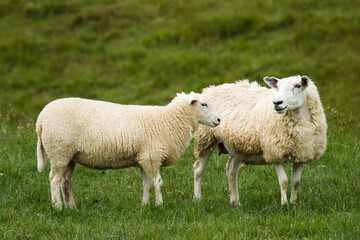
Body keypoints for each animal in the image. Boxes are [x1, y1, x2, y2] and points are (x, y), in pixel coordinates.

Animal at [37, 92, 222, 208]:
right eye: (203, 104)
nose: (219, 120)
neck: (167, 120)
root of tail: (41, 118)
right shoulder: (152, 157)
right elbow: (159, 183)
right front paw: (160, 205)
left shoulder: (144, 158)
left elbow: (147, 185)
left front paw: (145, 206)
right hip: (59, 150)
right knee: (54, 179)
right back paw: (58, 206)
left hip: (69, 156)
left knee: (65, 182)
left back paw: (72, 207)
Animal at [193, 76, 328, 205]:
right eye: (277, 86)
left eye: (298, 85)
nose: (277, 102)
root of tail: (212, 88)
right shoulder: (275, 152)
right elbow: (284, 181)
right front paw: (284, 204)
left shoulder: (301, 153)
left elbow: (296, 182)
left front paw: (293, 203)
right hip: (205, 139)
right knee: (199, 169)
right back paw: (198, 198)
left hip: (237, 146)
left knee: (231, 170)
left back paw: (235, 202)